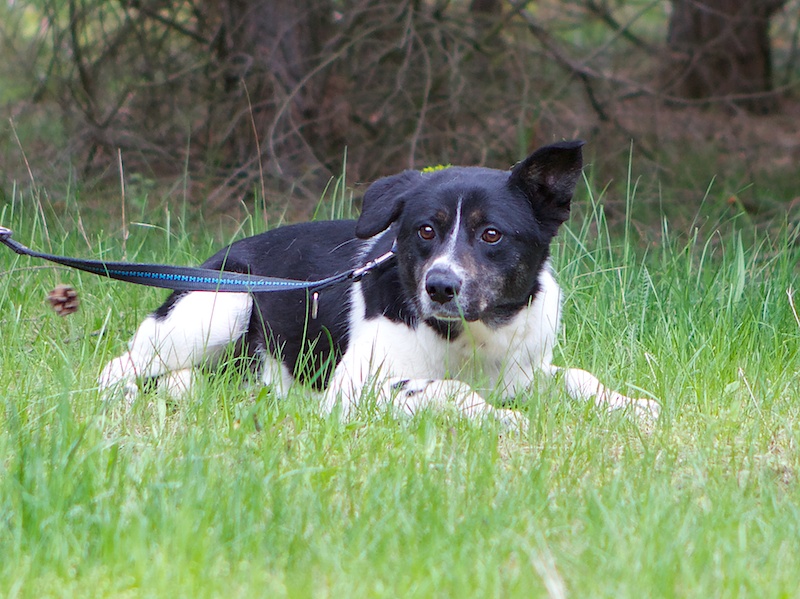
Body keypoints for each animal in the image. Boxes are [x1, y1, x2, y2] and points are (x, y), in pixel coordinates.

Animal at [99, 140, 660, 425]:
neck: (471, 337)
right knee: (121, 368)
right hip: (222, 303)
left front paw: (630, 405)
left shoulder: (526, 370)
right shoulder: (357, 386)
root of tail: (213, 259)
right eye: (426, 230)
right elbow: (447, 388)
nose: (440, 287)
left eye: (491, 233)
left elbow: (578, 378)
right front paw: (499, 417)